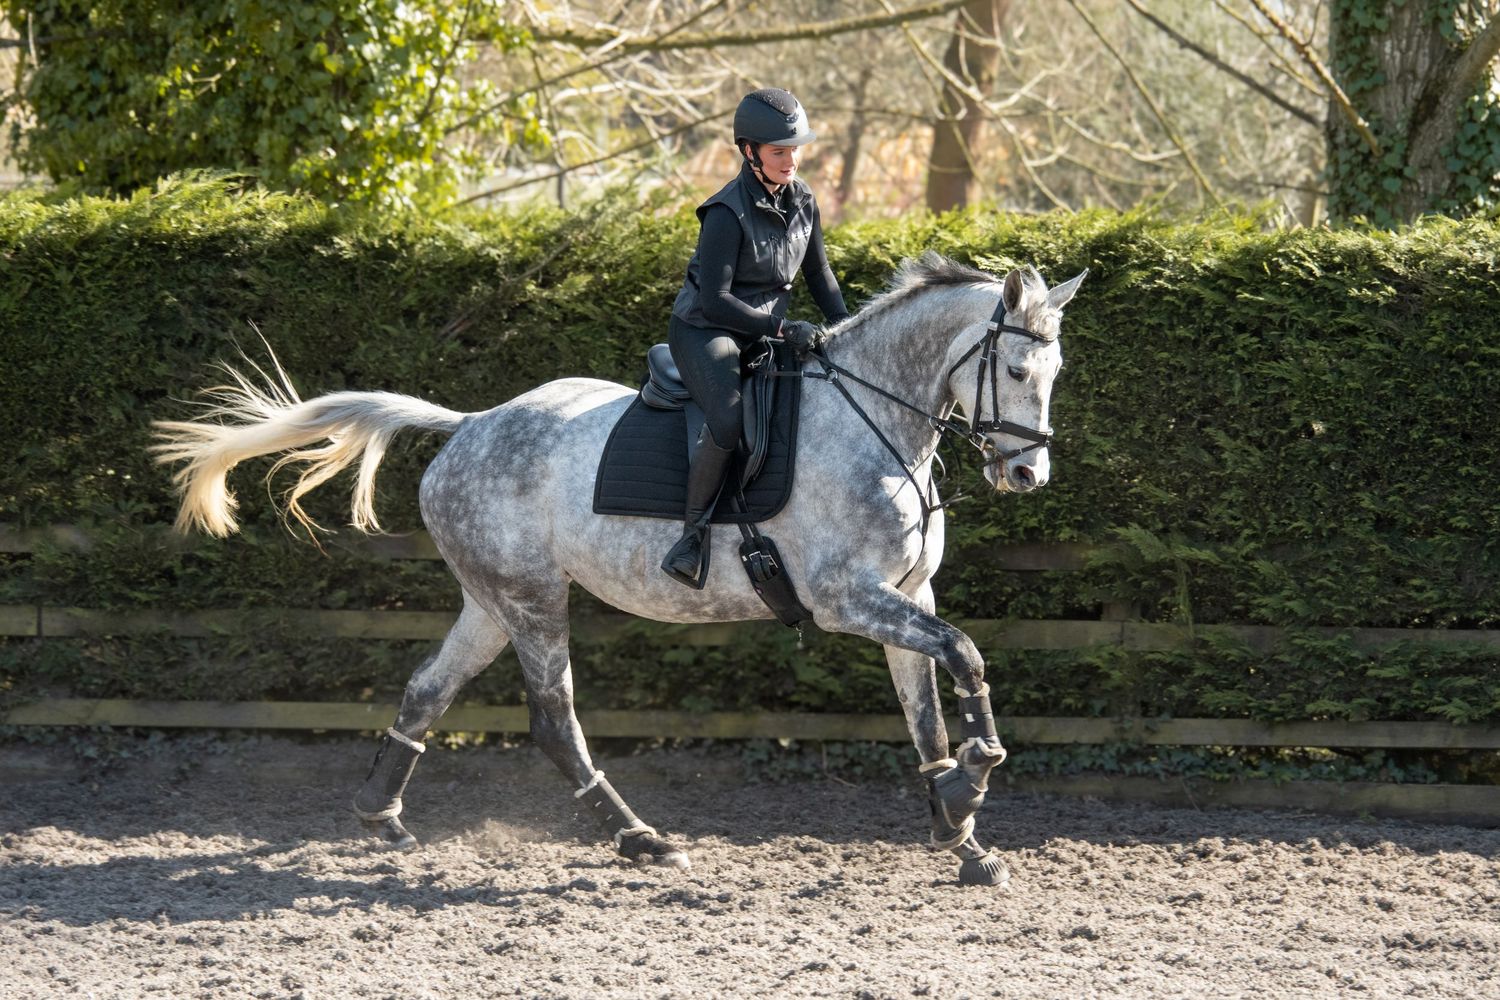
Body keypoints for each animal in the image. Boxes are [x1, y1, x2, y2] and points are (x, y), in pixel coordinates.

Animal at [151, 252, 1084, 886]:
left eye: (1055, 371)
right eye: (1013, 367)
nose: (1027, 475)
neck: (877, 421)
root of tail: (471, 424)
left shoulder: (904, 594)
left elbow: (927, 712)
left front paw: (961, 835)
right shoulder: (846, 598)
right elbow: (966, 654)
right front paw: (973, 782)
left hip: (490, 603)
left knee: (426, 689)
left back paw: (381, 816)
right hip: (532, 601)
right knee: (553, 719)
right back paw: (640, 837)